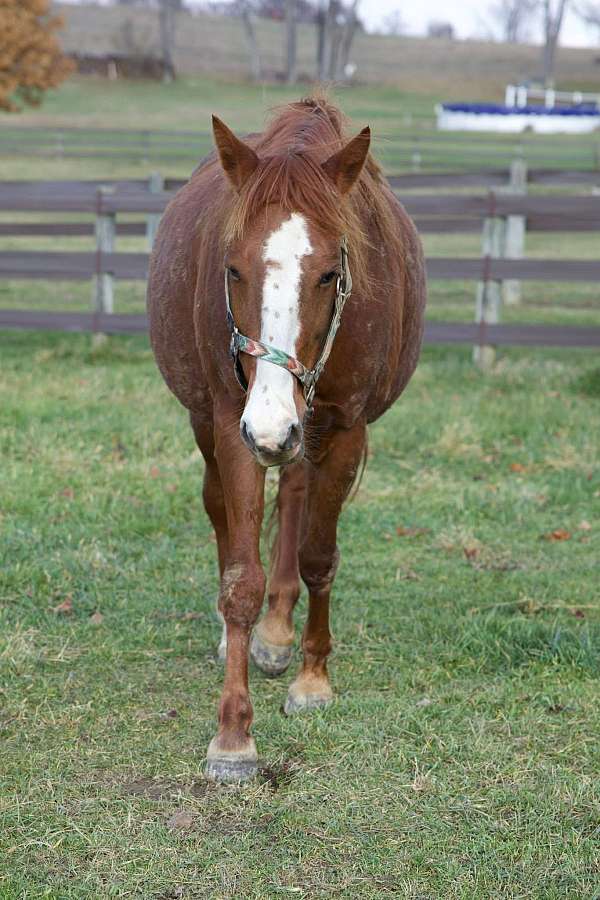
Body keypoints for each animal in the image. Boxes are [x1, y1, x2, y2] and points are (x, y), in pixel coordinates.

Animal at [147, 96, 426, 782]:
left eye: (328, 274)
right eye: (232, 268)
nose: (272, 424)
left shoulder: (343, 427)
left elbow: (318, 556)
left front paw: (313, 680)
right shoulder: (232, 423)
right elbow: (240, 577)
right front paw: (233, 736)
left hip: (310, 435)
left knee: (297, 503)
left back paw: (277, 635)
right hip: (223, 426)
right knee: (221, 512)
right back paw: (243, 637)